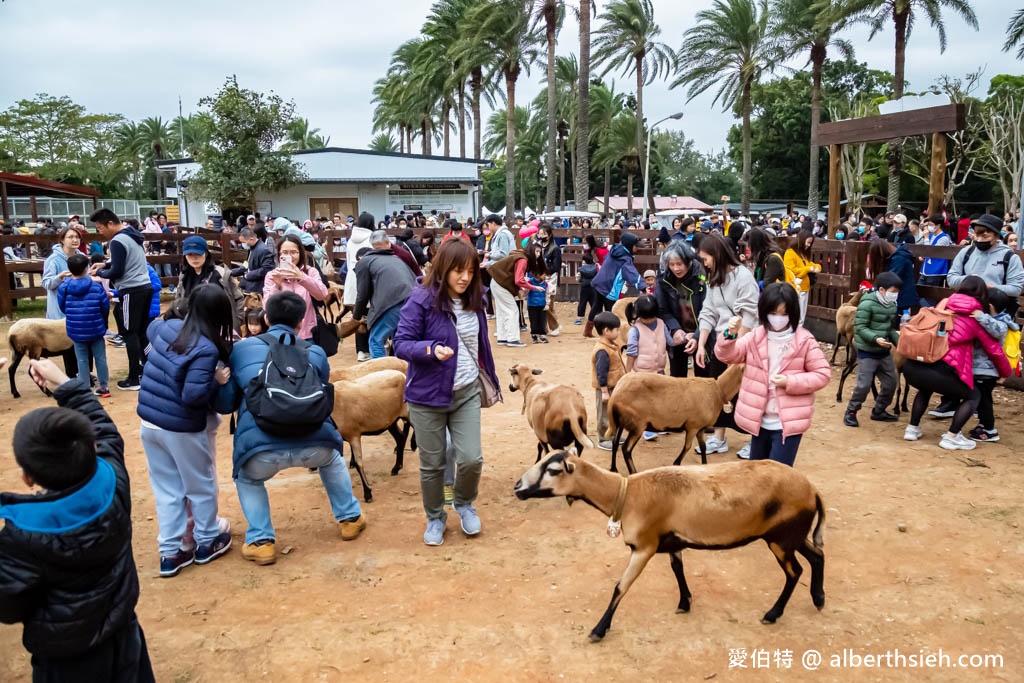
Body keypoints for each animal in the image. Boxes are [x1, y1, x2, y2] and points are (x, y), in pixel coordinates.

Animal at [327, 368, 407, 501]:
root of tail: (402, 375)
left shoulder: (354, 435)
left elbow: (359, 463)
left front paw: (367, 493)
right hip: (390, 421)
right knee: (400, 438)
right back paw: (396, 468)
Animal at [516, 454, 827, 643]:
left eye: (553, 470)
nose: (518, 487)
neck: (626, 494)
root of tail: (813, 491)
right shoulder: (671, 541)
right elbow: (678, 568)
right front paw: (685, 602)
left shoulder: (644, 546)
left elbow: (620, 587)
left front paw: (598, 630)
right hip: (792, 536)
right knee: (818, 555)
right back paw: (818, 598)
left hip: (781, 539)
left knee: (795, 571)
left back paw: (773, 614)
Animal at [606, 362, 745, 475]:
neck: (718, 391)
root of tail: (615, 395)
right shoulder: (692, 426)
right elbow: (687, 447)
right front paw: (676, 463)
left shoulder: (700, 428)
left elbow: (703, 446)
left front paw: (705, 465)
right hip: (638, 424)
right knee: (626, 449)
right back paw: (634, 473)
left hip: (622, 421)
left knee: (615, 443)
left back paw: (613, 469)